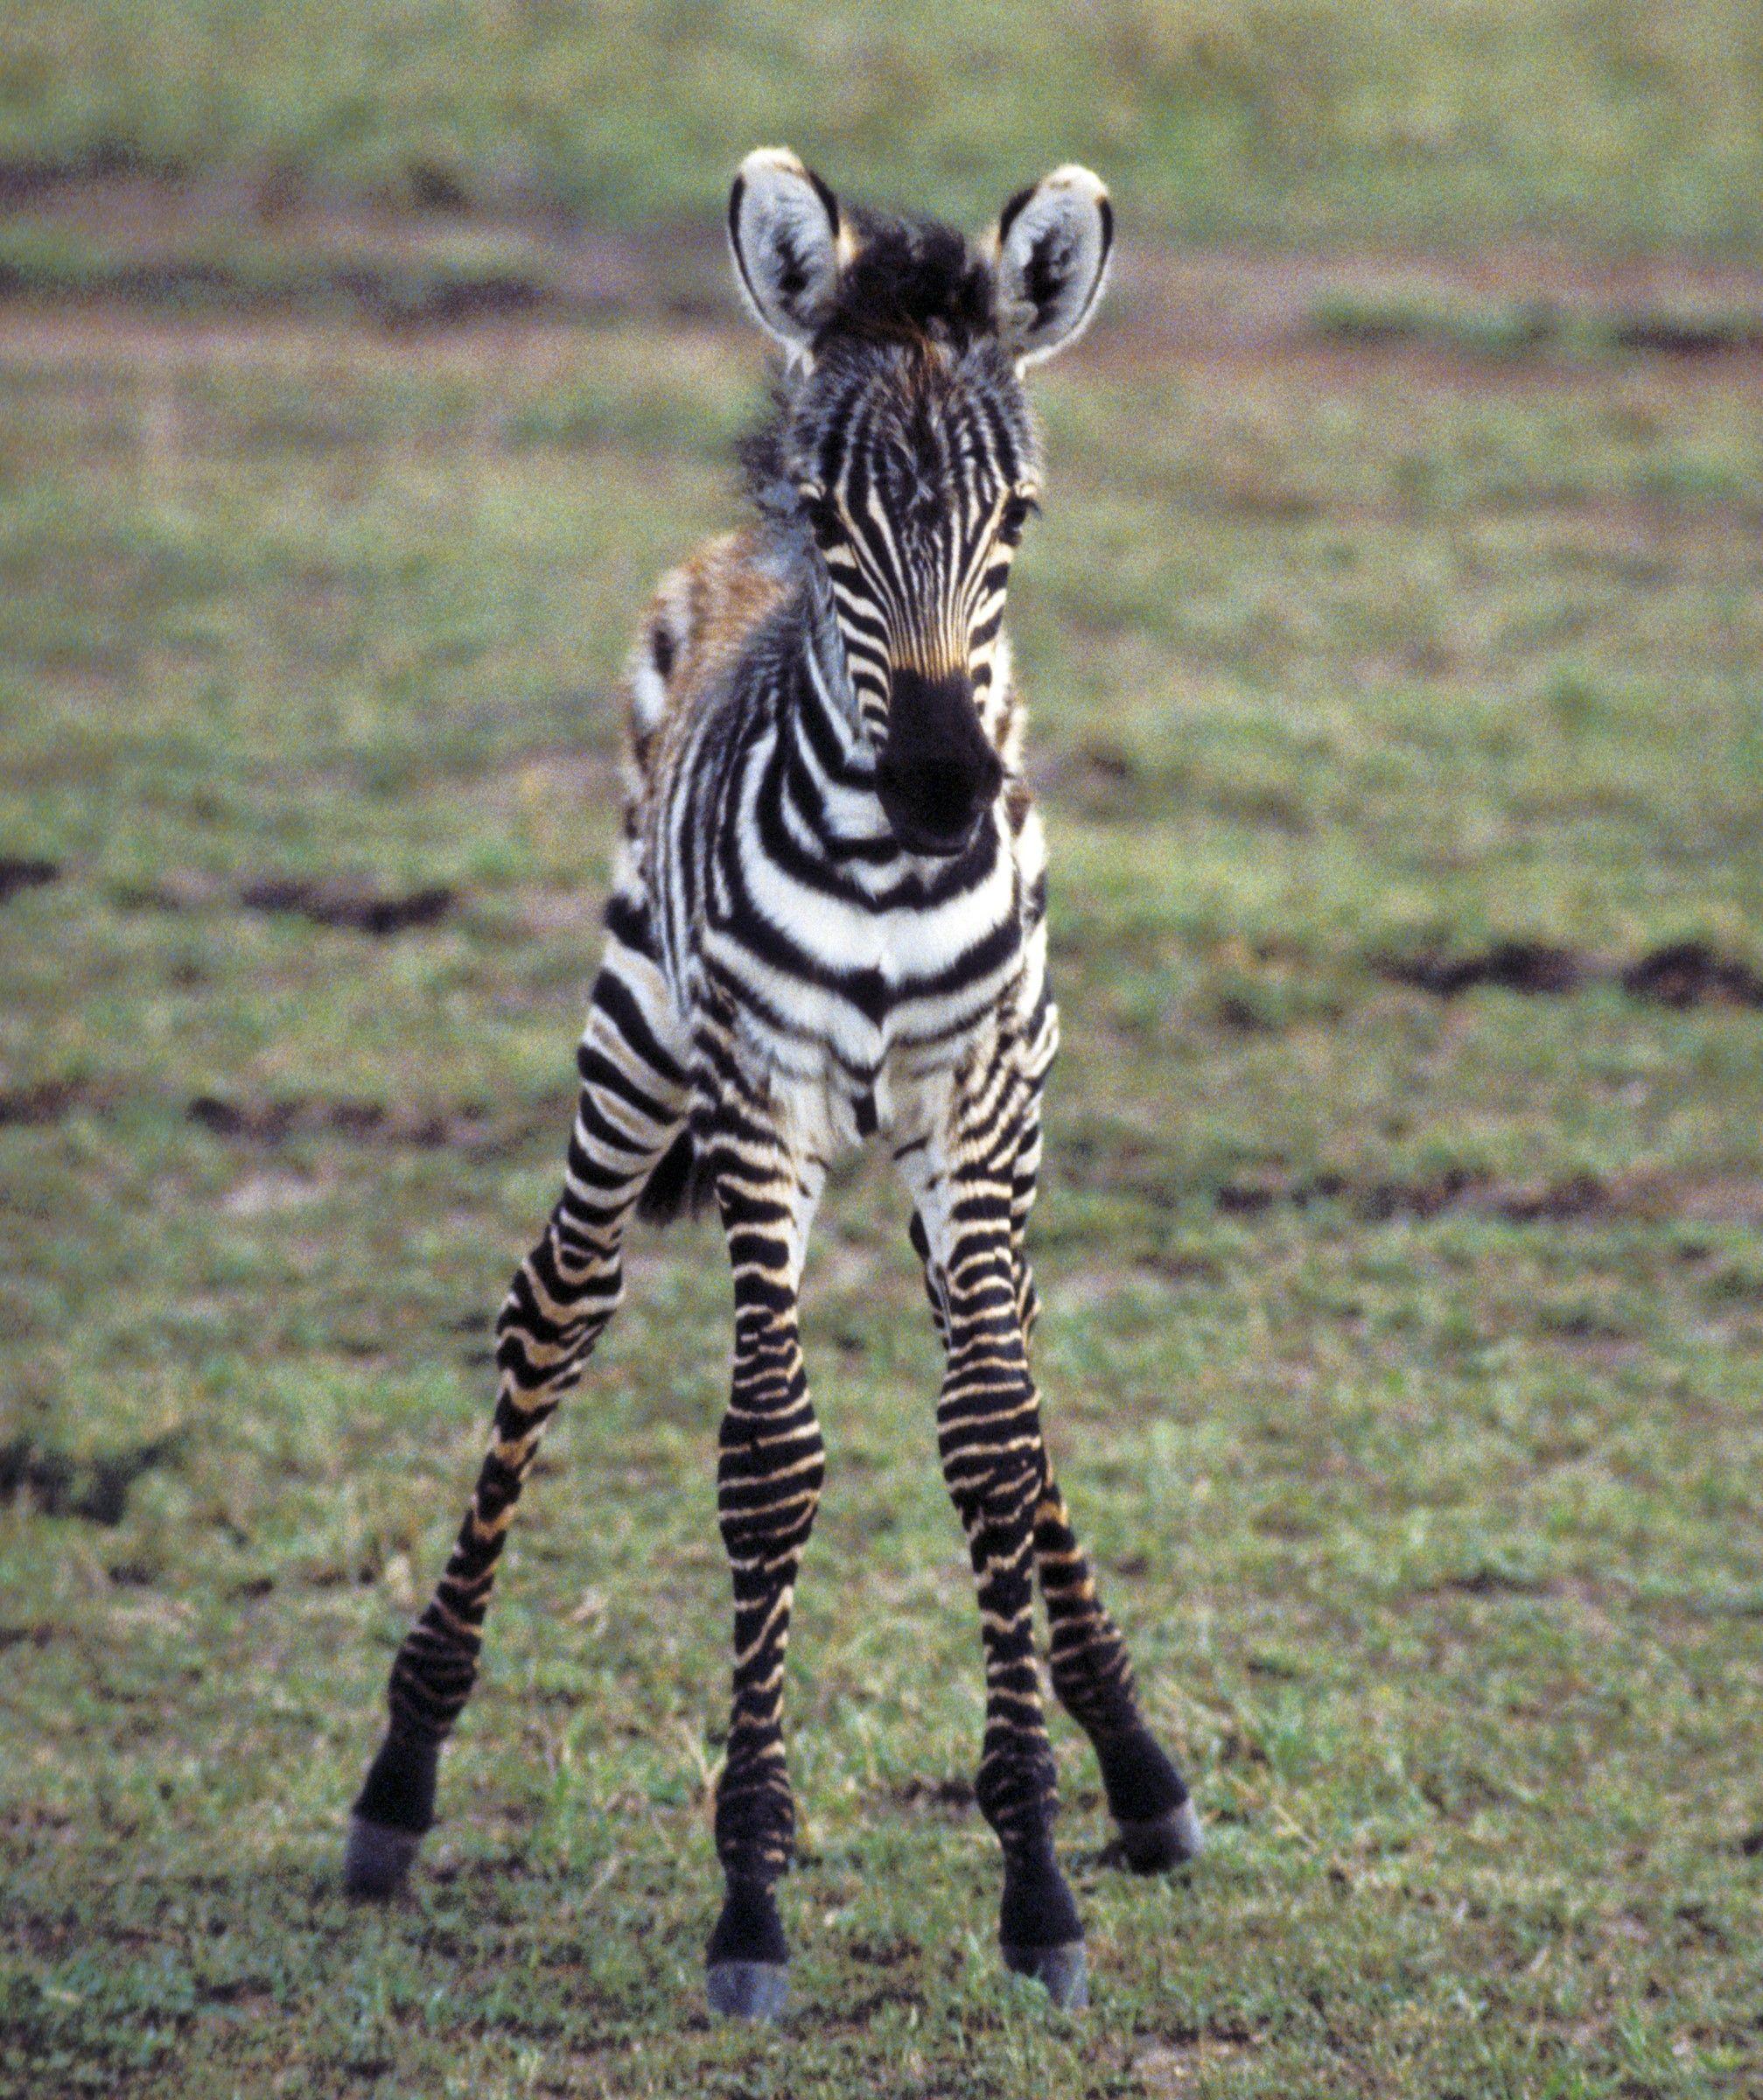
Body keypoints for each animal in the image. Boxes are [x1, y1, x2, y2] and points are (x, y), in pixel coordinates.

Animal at [344, 148, 1200, 2019]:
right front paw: (748, 1891)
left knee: (1011, 1384)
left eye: (1018, 522)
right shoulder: (760, 1104)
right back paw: (400, 1776)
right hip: (633, 1049)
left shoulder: (982, 1104)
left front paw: (1040, 1872)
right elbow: (768, 1461)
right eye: (837, 517)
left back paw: (1138, 1763)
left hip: (976, 1136)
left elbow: (996, 1443)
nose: (946, 791)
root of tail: (725, 559)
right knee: (553, 1312)